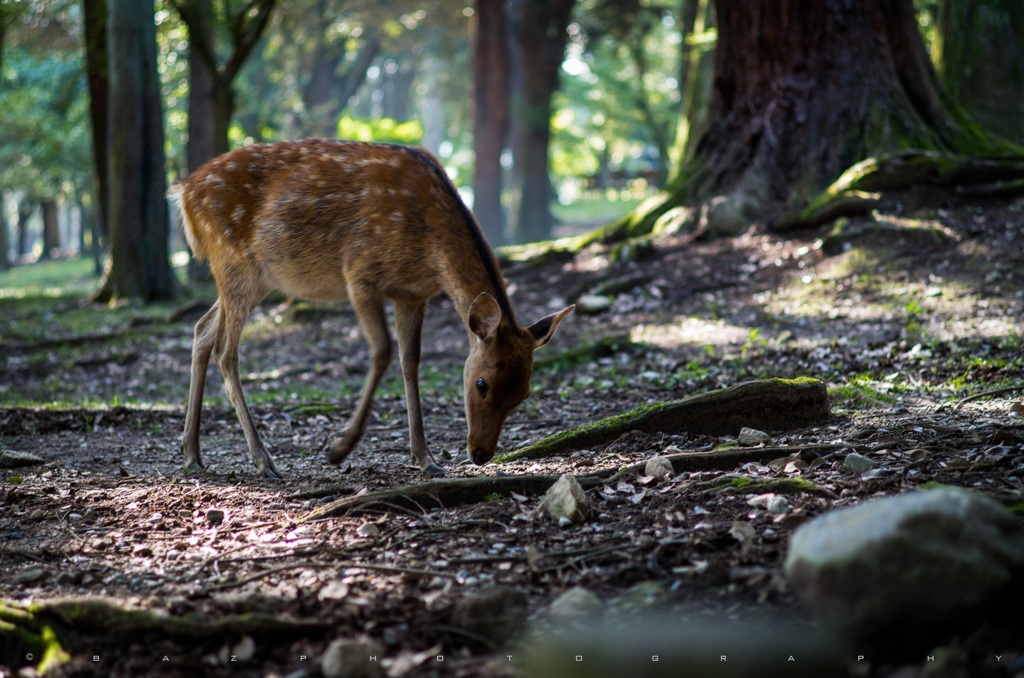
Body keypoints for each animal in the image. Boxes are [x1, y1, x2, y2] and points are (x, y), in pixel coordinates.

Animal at [163, 138, 573, 481]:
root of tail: (182, 192)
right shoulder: (360, 273)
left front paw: (426, 458)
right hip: (233, 262)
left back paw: (192, 454)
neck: (430, 247)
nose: (481, 454)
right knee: (225, 352)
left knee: (201, 330)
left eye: (523, 394)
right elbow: (382, 351)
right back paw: (263, 461)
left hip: (256, 278)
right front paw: (338, 449)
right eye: (481, 383)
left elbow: (411, 361)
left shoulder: (413, 293)